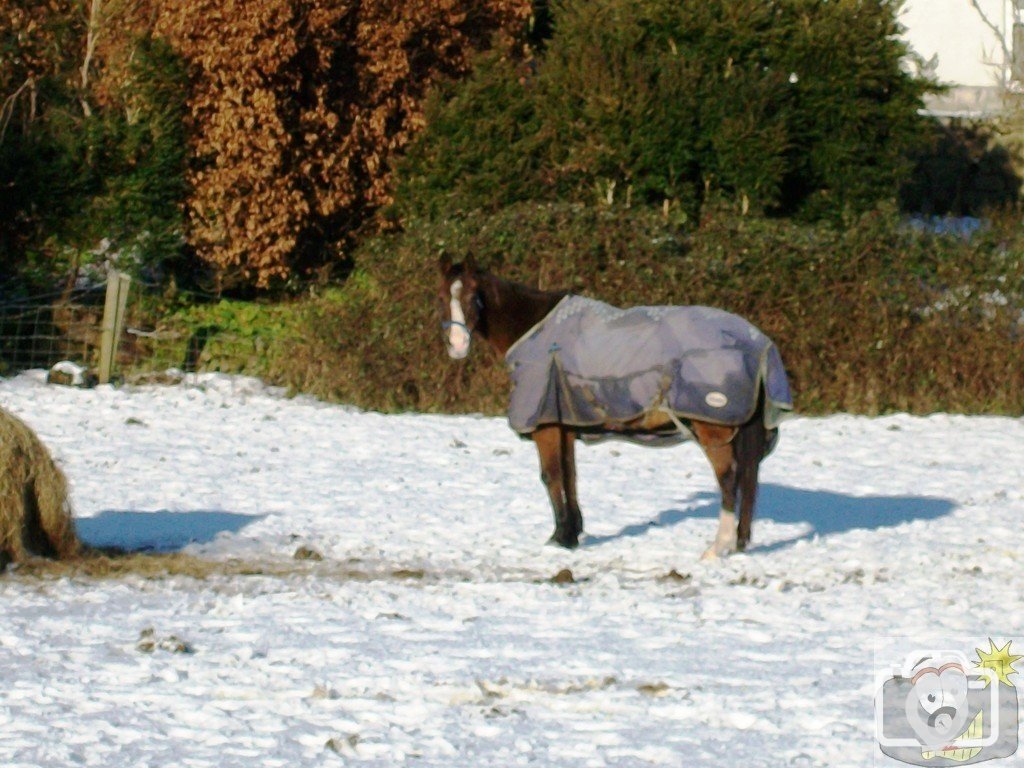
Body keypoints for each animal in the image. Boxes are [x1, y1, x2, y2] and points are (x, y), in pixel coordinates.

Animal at [436, 257, 786, 561]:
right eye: (442, 297)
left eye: (473, 296)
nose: (457, 345)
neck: (537, 330)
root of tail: (759, 343)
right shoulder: (565, 422)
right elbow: (570, 475)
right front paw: (571, 534)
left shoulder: (545, 425)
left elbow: (551, 476)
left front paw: (561, 538)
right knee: (746, 479)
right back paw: (739, 543)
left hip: (713, 427)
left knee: (728, 479)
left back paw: (718, 547)